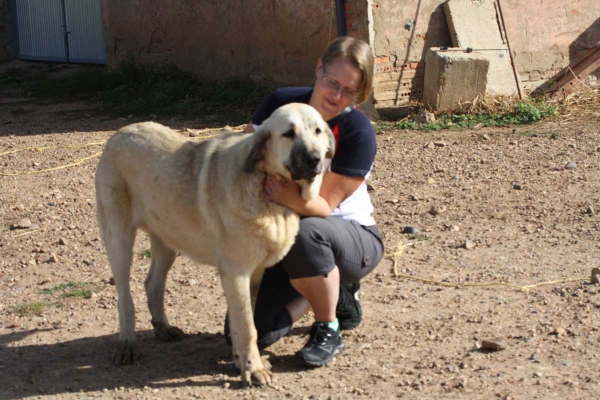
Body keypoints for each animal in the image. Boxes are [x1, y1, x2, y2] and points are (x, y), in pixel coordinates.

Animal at [96, 103, 336, 384]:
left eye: (318, 131)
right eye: (288, 133)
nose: (314, 159)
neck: (263, 185)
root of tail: (119, 133)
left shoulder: (254, 275)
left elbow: (242, 323)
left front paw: (240, 362)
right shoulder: (236, 273)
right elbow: (247, 326)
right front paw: (253, 368)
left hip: (167, 238)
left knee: (152, 283)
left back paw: (163, 328)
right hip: (119, 238)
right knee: (124, 296)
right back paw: (127, 344)